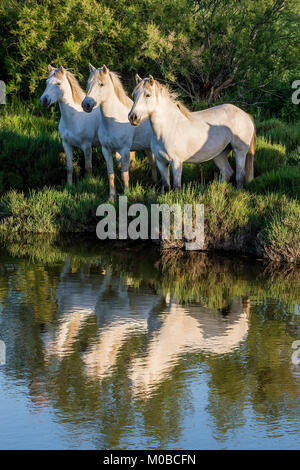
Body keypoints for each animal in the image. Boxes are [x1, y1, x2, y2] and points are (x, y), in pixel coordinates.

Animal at [82, 64, 157, 200]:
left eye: (101, 84)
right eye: (88, 83)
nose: (86, 105)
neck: (113, 121)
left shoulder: (125, 150)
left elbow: (124, 174)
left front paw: (126, 194)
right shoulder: (106, 150)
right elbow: (110, 173)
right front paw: (112, 197)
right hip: (147, 147)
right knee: (152, 163)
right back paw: (154, 182)